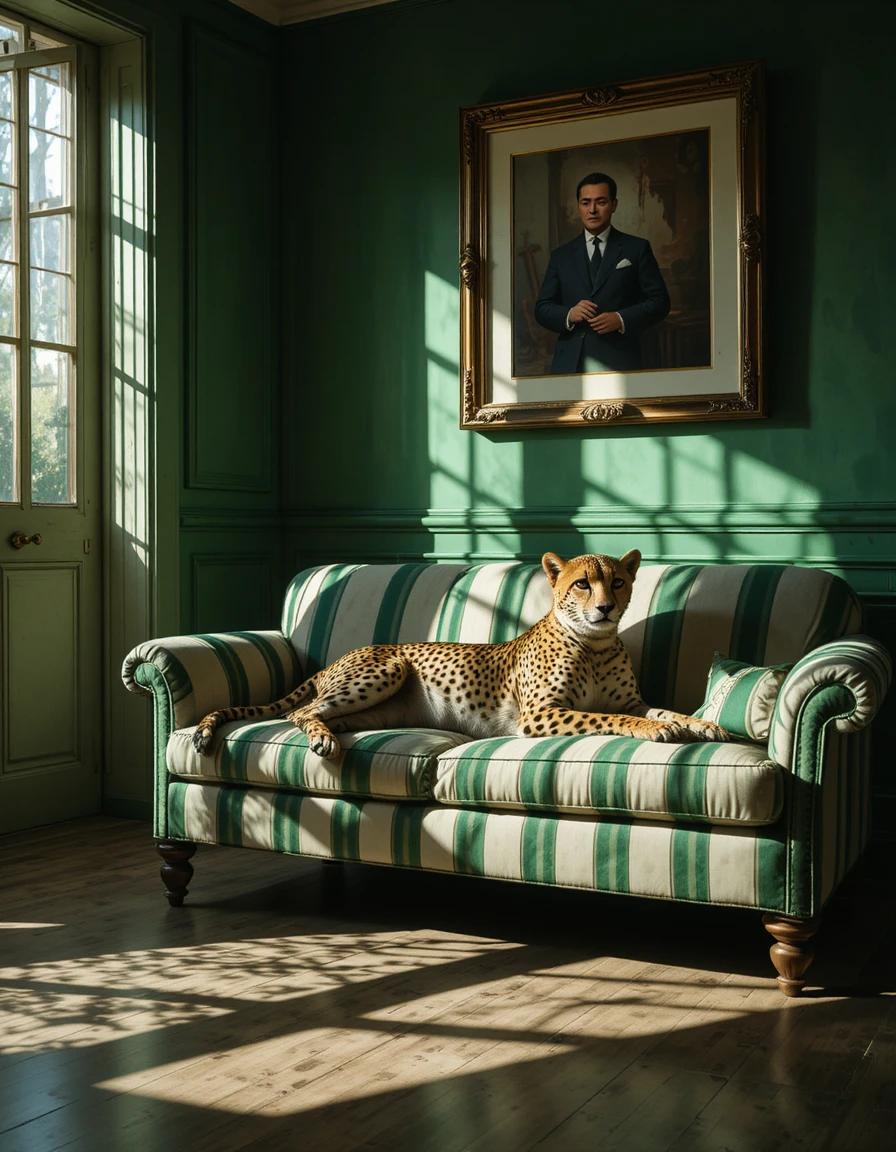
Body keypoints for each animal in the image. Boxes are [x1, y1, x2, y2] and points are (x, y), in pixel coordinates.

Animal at [192, 549, 729, 758]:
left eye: (617, 582)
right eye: (582, 583)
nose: (605, 607)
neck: (593, 644)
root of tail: (334, 660)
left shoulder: (629, 700)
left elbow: (661, 709)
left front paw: (703, 725)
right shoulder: (541, 714)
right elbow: (613, 719)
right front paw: (658, 731)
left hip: (375, 713)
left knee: (315, 715)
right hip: (387, 668)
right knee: (299, 712)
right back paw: (321, 740)